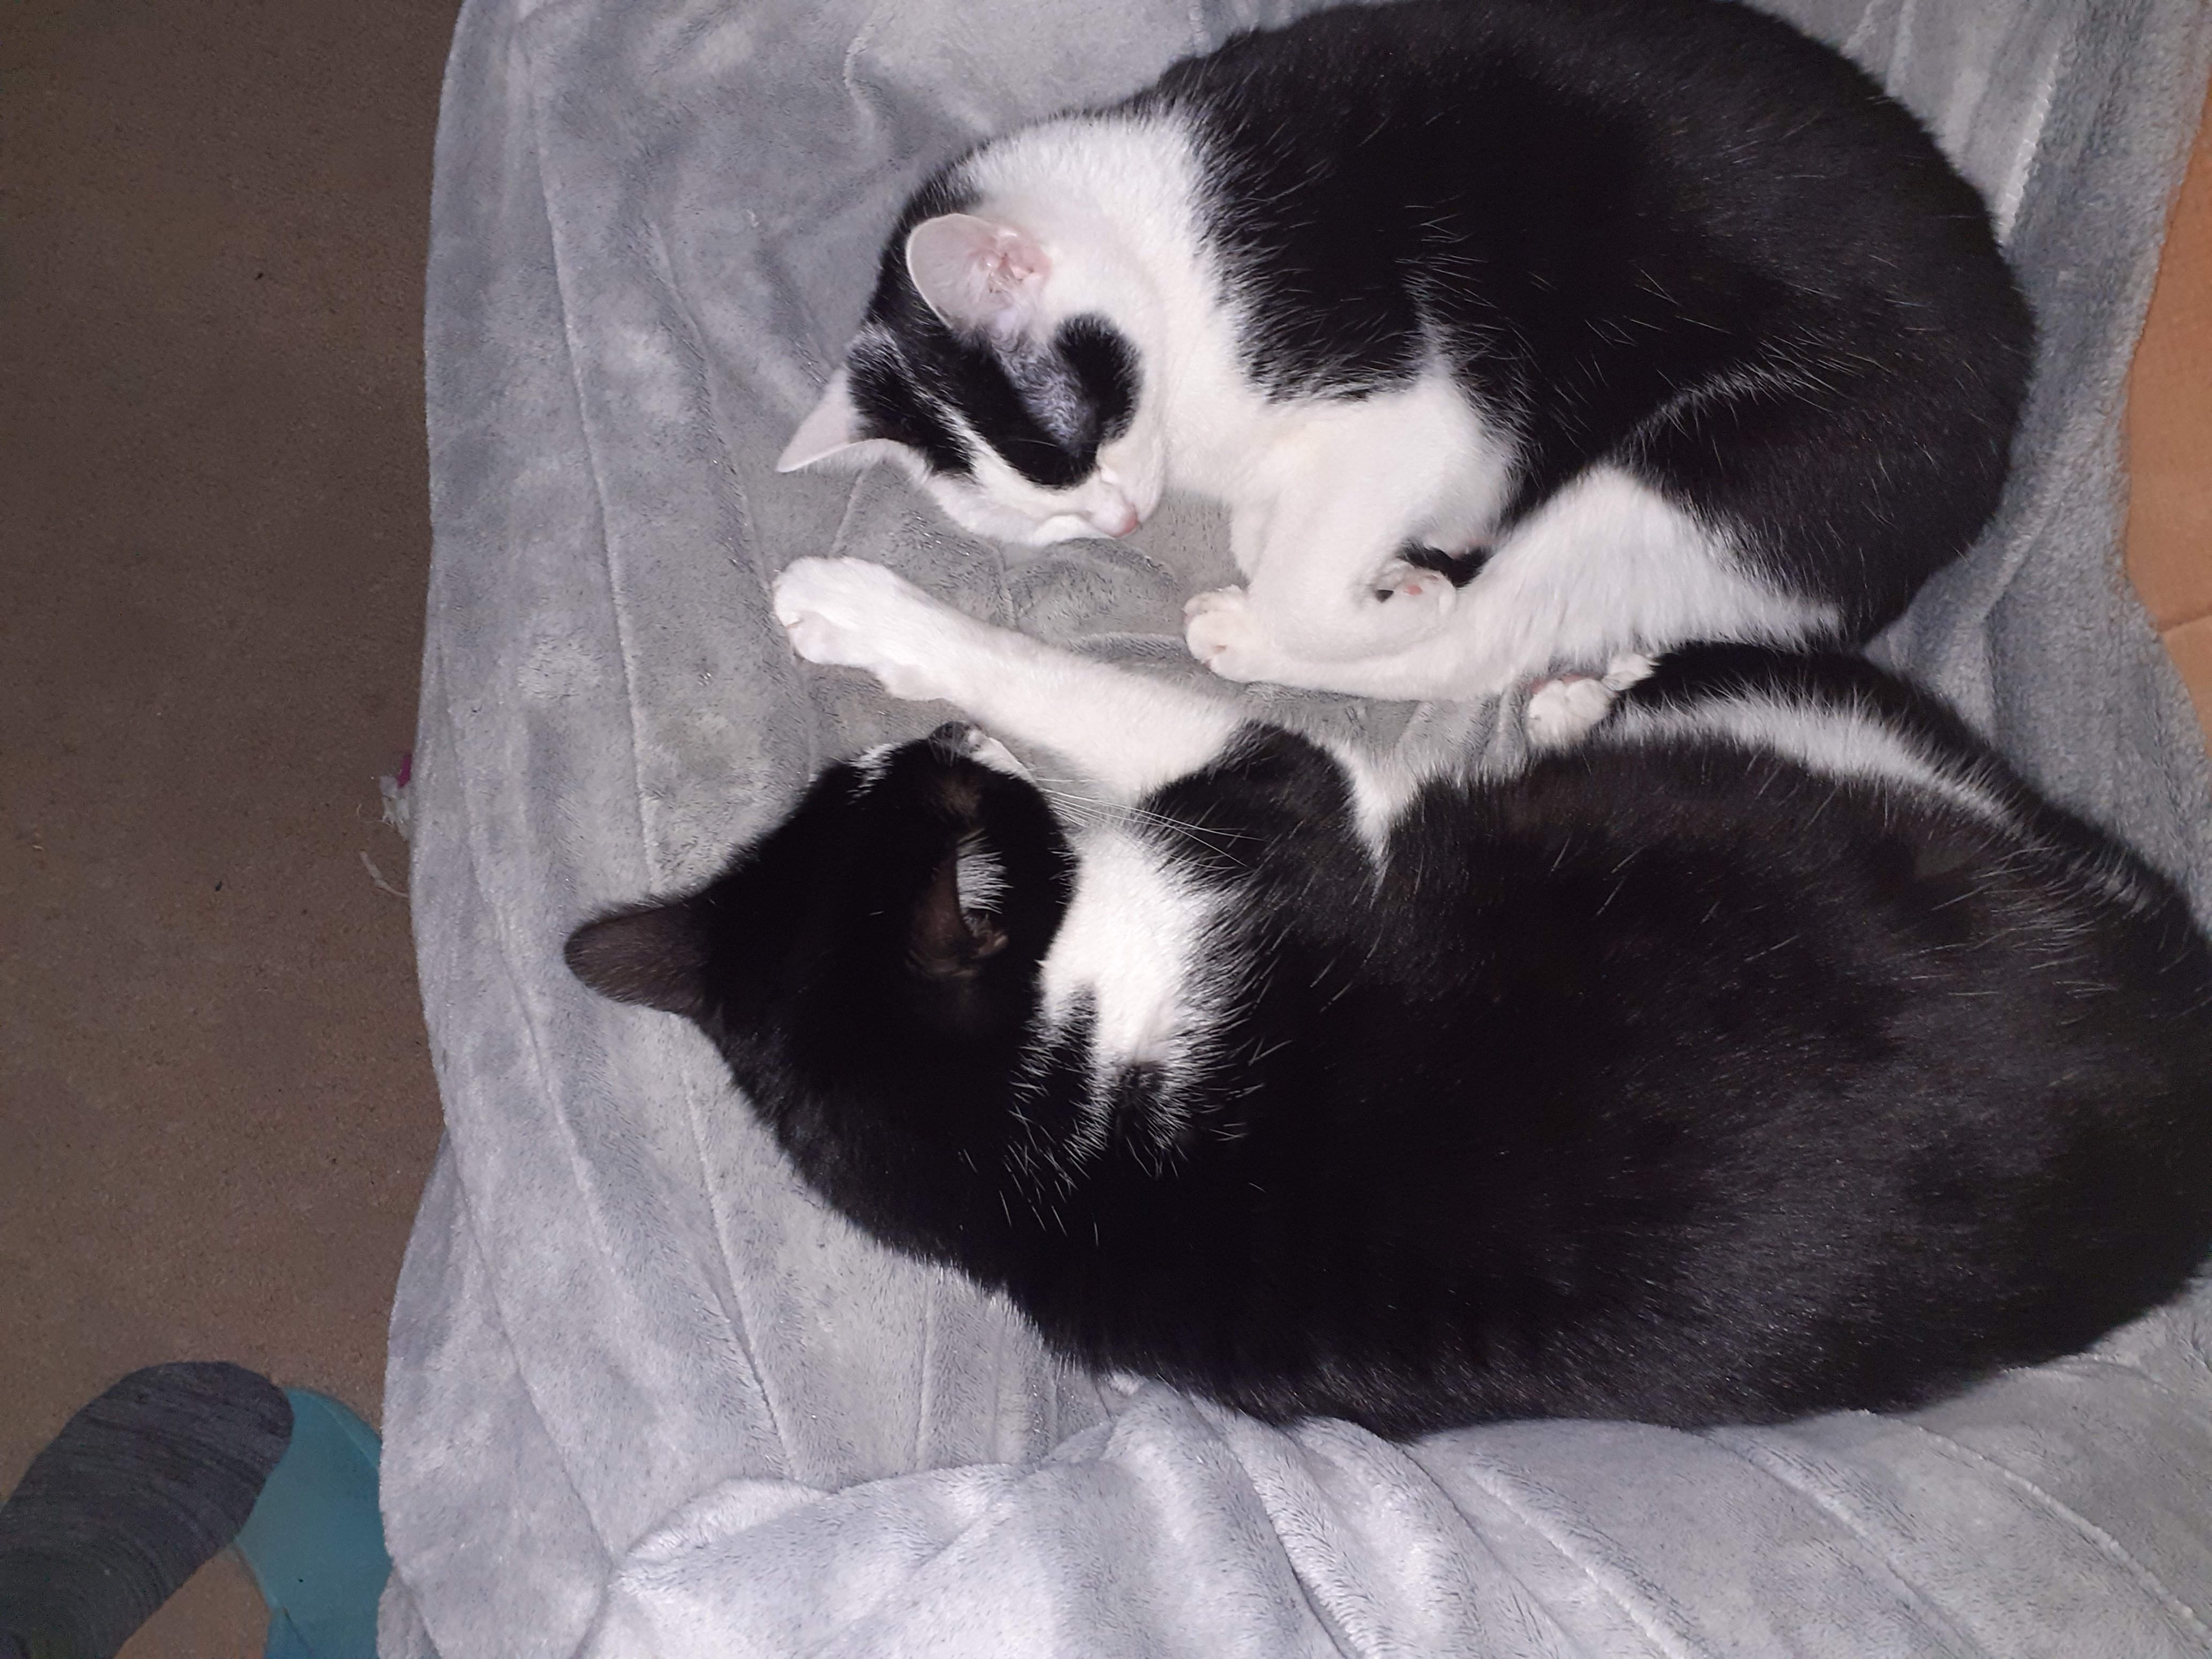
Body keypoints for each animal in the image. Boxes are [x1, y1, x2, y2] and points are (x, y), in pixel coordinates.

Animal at [566, 555, 2212, 1438]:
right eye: (958, 789)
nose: (957, 744)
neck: (1031, 1130)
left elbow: (1072, 684)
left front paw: (867, 616)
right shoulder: (1286, 798)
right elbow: (1082, 684)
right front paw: (890, 623)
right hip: (1849, 770)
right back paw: (1579, 690)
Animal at [775, 0, 2033, 706]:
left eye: (1082, 435)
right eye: (1039, 520)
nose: (1122, 524)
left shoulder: (1408, 400)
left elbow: (1308, 578)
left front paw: (1368, 593)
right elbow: (1273, 529)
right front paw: (1340, 547)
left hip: (1711, 471)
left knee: (1481, 646)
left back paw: (1301, 625)